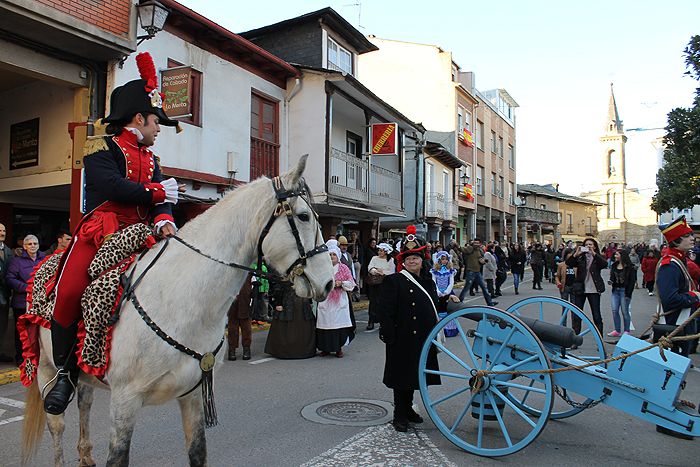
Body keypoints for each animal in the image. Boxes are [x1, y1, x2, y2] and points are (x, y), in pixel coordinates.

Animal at [23, 158, 334, 467]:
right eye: (304, 216)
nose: (329, 282)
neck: (182, 300)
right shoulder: (124, 401)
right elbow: (118, 457)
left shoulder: (193, 395)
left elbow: (197, 452)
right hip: (46, 368)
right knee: (57, 425)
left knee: (84, 404)